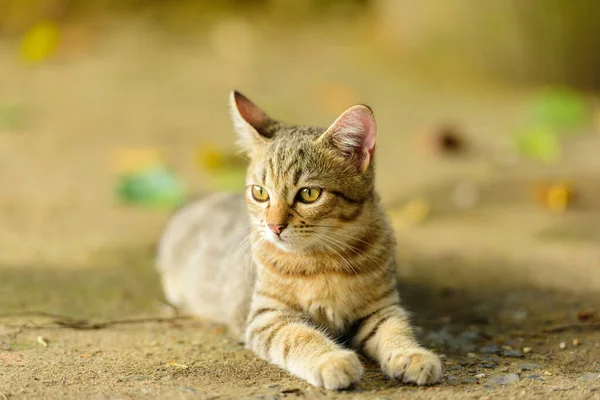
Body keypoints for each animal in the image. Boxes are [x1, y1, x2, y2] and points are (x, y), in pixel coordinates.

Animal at [157, 90, 442, 388]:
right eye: (260, 192)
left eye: (308, 194)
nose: (274, 226)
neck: (324, 259)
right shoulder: (266, 317)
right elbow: (300, 336)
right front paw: (332, 360)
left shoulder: (381, 308)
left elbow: (396, 330)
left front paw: (411, 354)